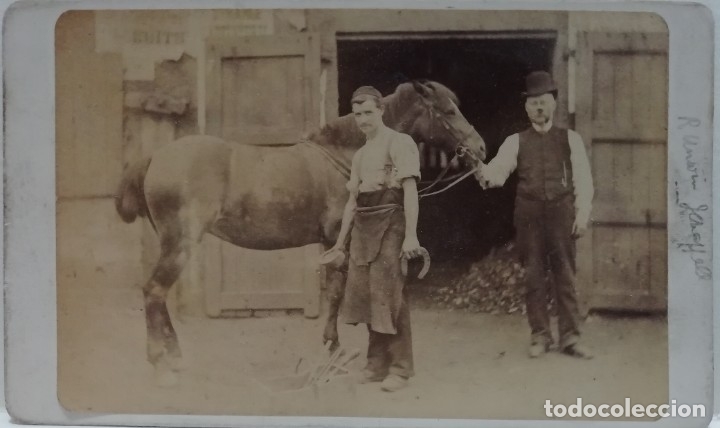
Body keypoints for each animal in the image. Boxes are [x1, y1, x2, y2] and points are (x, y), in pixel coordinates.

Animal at [115, 80, 487, 385]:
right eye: (449, 111)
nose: (481, 148)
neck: (344, 155)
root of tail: (155, 157)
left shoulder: (331, 243)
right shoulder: (338, 239)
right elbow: (336, 294)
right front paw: (332, 348)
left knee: (156, 294)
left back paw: (174, 358)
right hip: (180, 244)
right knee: (154, 291)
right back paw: (162, 365)